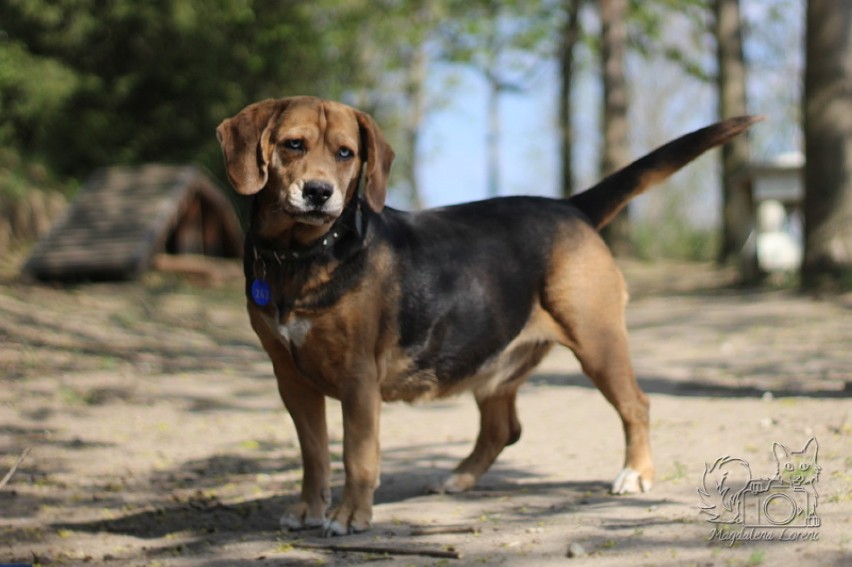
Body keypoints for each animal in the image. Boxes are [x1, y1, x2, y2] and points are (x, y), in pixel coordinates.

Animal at [218, 97, 760, 536]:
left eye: (346, 153)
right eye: (293, 145)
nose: (319, 192)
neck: (299, 256)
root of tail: (571, 207)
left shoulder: (357, 379)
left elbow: (357, 457)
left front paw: (350, 516)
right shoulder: (291, 379)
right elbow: (313, 454)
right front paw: (309, 509)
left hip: (598, 343)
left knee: (637, 406)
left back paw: (636, 473)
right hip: (492, 360)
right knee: (503, 429)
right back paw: (459, 477)